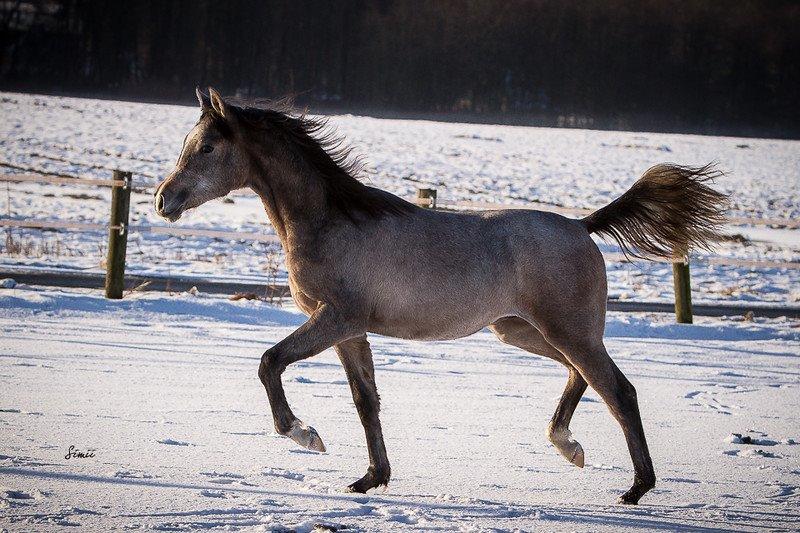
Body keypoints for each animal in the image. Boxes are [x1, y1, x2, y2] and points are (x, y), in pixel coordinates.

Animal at [153, 87, 728, 502]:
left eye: (206, 147)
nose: (164, 200)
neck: (331, 221)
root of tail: (582, 227)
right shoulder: (349, 330)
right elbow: (366, 400)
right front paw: (370, 478)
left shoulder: (336, 319)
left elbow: (270, 362)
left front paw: (305, 434)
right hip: (522, 331)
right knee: (580, 376)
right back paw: (570, 447)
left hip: (569, 331)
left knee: (618, 390)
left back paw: (635, 488)